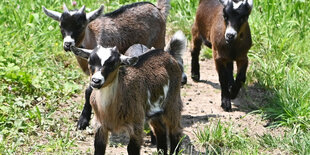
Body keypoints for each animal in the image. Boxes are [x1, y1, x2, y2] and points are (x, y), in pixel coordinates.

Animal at [42, 0, 171, 130]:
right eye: (61, 26)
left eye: (81, 26)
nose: (67, 44)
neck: (93, 37)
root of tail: (158, 9)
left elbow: (89, 91)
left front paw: (83, 120)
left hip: (159, 41)